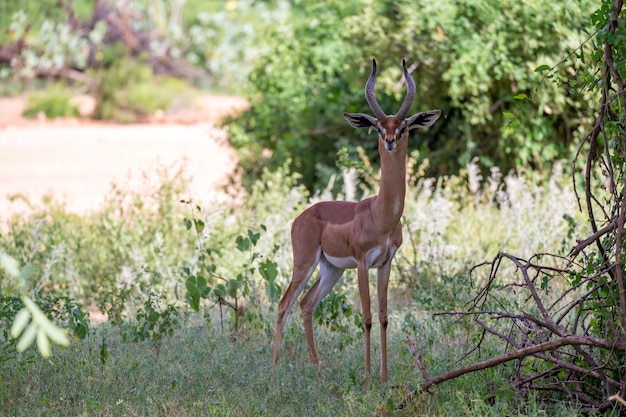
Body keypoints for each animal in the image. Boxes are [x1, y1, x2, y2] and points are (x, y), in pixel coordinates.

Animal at [270, 57, 442, 382]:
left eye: (403, 127)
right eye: (378, 127)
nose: (389, 141)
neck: (381, 215)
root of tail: (303, 216)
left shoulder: (385, 263)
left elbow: (385, 317)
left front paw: (384, 377)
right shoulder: (363, 262)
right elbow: (367, 316)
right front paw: (366, 375)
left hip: (331, 269)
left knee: (306, 304)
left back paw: (317, 368)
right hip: (305, 263)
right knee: (284, 303)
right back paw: (273, 368)